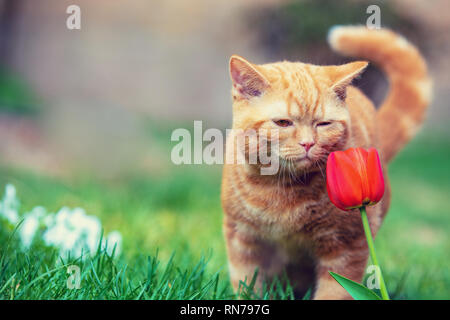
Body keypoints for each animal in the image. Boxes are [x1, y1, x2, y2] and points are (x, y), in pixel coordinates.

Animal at [221, 26, 432, 300]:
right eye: (283, 123)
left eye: (323, 124)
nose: (308, 143)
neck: (283, 189)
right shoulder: (241, 237)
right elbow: (247, 284)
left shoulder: (347, 245)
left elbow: (334, 291)